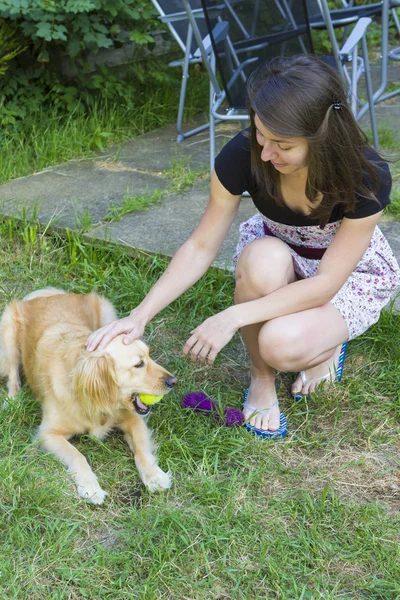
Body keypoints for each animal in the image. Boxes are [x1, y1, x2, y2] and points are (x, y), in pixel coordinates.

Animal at [0, 288, 177, 504]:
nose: (173, 381)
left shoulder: (134, 419)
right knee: (13, 376)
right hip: (7, 331)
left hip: (107, 311)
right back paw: (12, 401)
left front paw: (155, 476)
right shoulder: (47, 433)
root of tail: (48, 295)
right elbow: (77, 455)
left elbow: (142, 449)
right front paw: (91, 488)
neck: (94, 399)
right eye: (138, 364)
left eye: (149, 356)